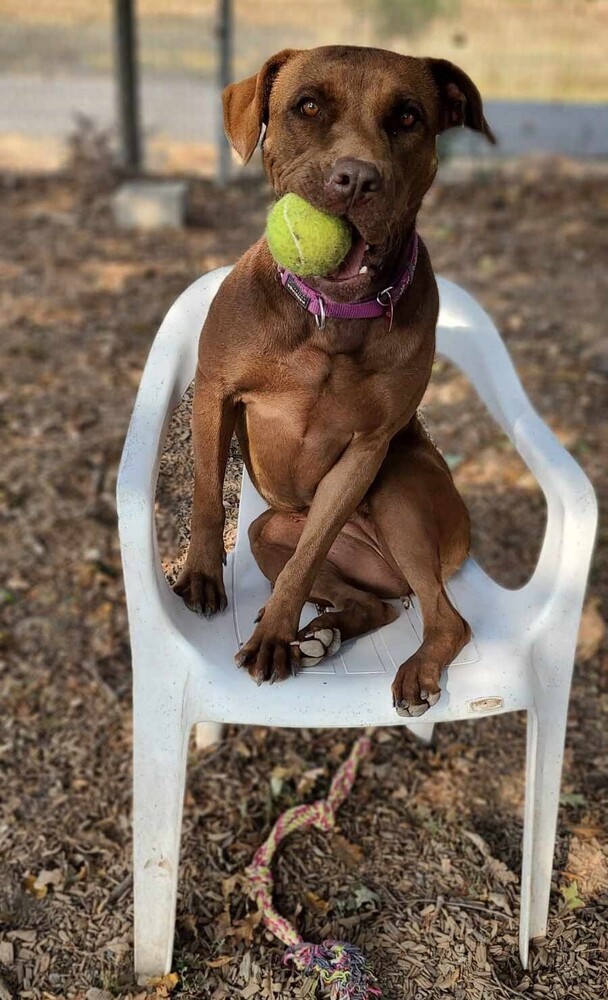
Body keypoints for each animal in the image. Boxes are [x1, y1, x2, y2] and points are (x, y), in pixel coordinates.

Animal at [175, 47, 494, 716]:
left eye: (408, 116)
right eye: (308, 107)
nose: (357, 178)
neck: (332, 318)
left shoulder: (367, 451)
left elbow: (305, 561)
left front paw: (273, 637)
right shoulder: (215, 390)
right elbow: (207, 494)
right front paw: (203, 576)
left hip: (398, 492)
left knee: (446, 618)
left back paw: (406, 668)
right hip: (269, 532)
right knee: (372, 603)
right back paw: (322, 633)